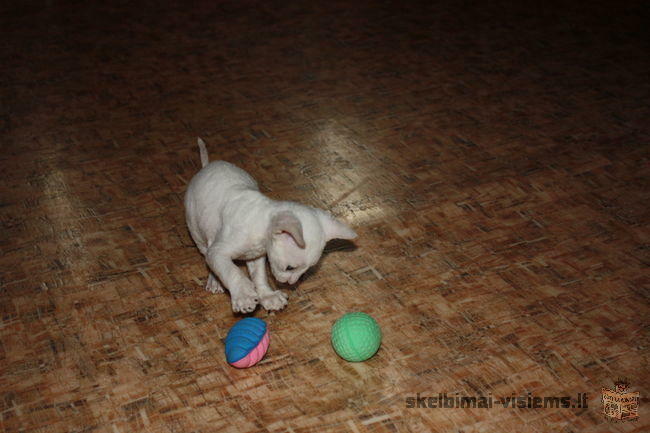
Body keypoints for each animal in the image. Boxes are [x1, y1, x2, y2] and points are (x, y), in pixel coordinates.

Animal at [185, 138, 356, 310]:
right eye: (290, 268)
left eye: (308, 269)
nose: (291, 283)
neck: (261, 221)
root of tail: (207, 166)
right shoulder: (218, 251)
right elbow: (231, 271)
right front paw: (243, 295)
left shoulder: (256, 256)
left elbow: (259, 276)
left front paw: (267, 296)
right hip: (198, 233)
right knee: (208, 255)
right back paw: (215, 281)